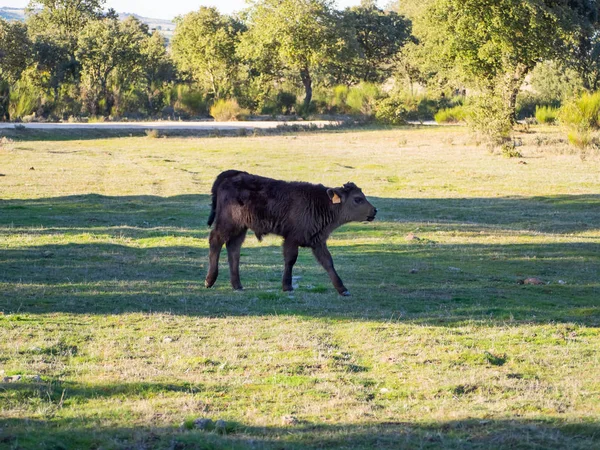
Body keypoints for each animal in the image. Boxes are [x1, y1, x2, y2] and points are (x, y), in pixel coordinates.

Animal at [204, 170, 378, 296]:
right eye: (357, 199)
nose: (374, 211)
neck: (320, 203)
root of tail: (229, 176)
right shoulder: (292, 239)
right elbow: (290, 260)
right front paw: (287, 286)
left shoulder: (318, 241)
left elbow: (328, 262)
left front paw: (342, 289)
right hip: (227, 224)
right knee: (215, 240)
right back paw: (209, 280)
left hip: (240, 229)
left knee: (233, 249)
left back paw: (237, 285)